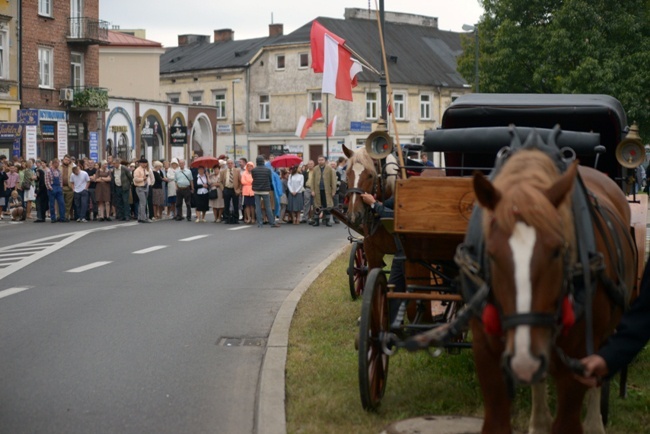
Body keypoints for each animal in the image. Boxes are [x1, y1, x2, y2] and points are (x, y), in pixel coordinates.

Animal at [468, 147, 636, 432]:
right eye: (490, 254)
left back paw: (595, 423)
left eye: (558, 251)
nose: (523, 361)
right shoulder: (486, 353)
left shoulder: (578, 359)